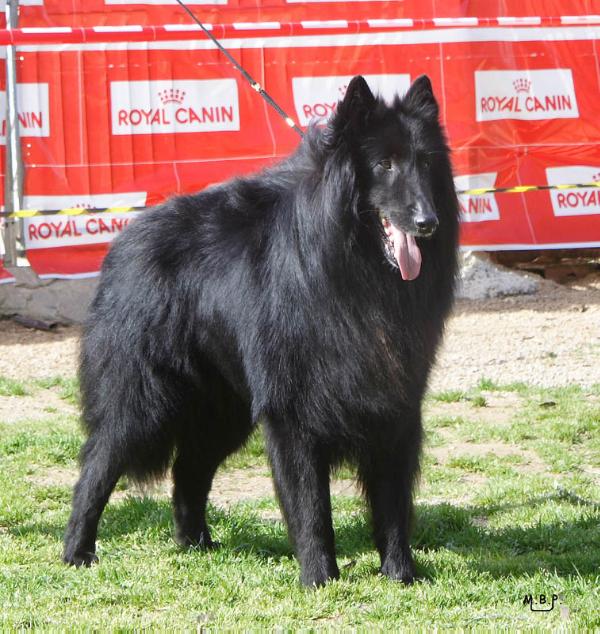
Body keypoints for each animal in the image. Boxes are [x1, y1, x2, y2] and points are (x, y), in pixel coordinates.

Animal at [64, 76, 460, 584]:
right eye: (384, 164)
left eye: (425, 162)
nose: (427, 222)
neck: (351, 270)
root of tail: (123, 241)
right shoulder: (294, 417)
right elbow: (311, 507)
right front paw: (320, 578)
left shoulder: (395, 407)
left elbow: (393, 504)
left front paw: (400, 574)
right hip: (142, 404)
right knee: (97, 466)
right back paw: (77, 550)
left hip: (224, 412)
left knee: (188, 471)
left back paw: (197, 544)